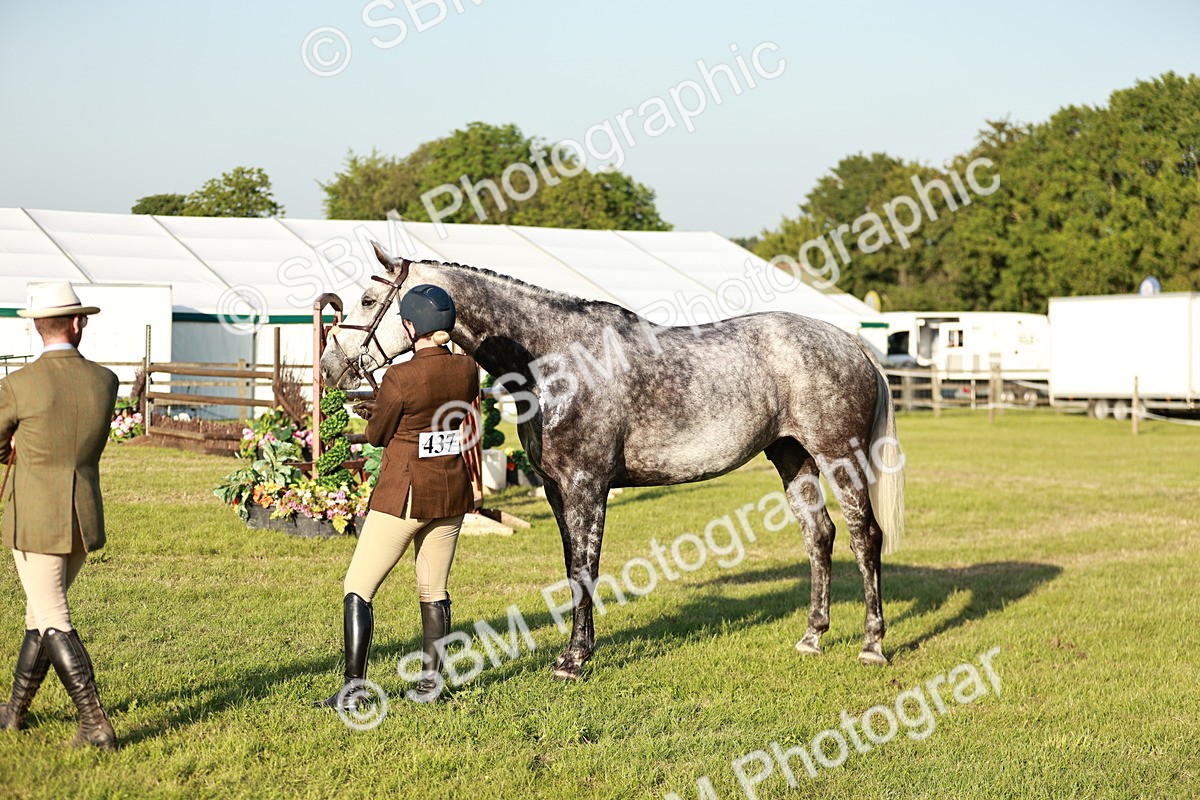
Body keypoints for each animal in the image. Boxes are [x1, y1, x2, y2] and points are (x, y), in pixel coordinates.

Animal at [320, 243, 904, 680]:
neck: (556, 359)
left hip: (839, 455)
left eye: (369, 298)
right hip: (791, 455)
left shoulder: (586, 485)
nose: (329, 366)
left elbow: (586, 569)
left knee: (864, 536)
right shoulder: (556, 489)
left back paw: (872, 645)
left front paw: (574, 660)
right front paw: (574, 650)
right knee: (819, 535)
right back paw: (812, 636)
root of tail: (849, 341)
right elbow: (570, 569)